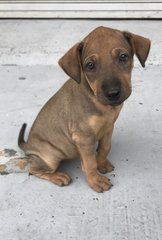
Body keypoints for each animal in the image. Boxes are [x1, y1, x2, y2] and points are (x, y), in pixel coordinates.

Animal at [0, 26, 151, 191]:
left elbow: (105, 148)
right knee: (33, 170)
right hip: (51, 157)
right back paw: (58, 176)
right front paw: (95, 180)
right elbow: (90, 163)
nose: (112, 93)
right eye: (90, 65)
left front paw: (102, 164)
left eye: (123, 57)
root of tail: (28, 146)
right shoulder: (84, 138)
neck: (101, 105)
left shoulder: (108, 128)